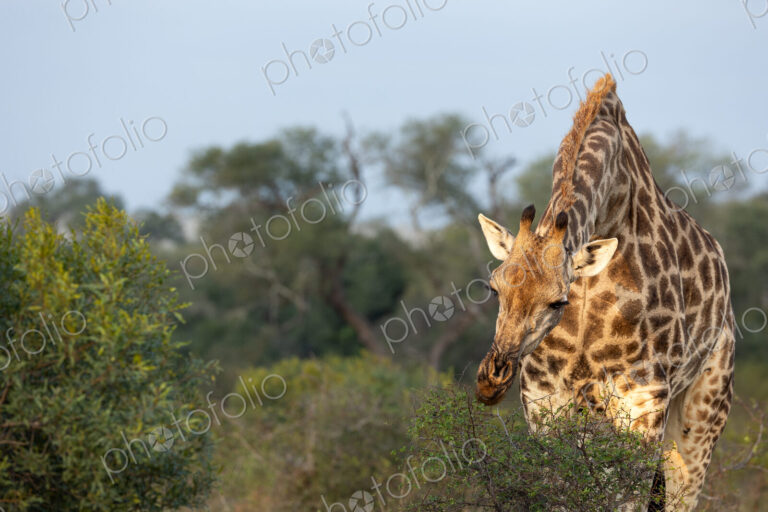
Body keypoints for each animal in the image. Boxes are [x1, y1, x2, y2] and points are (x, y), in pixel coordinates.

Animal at [474, 74, 735, 511]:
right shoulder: (544, 398)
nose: (493, 380)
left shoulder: (646, 397)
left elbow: (626, 497)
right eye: (494, 288)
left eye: (558, 301)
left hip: (705, 407)